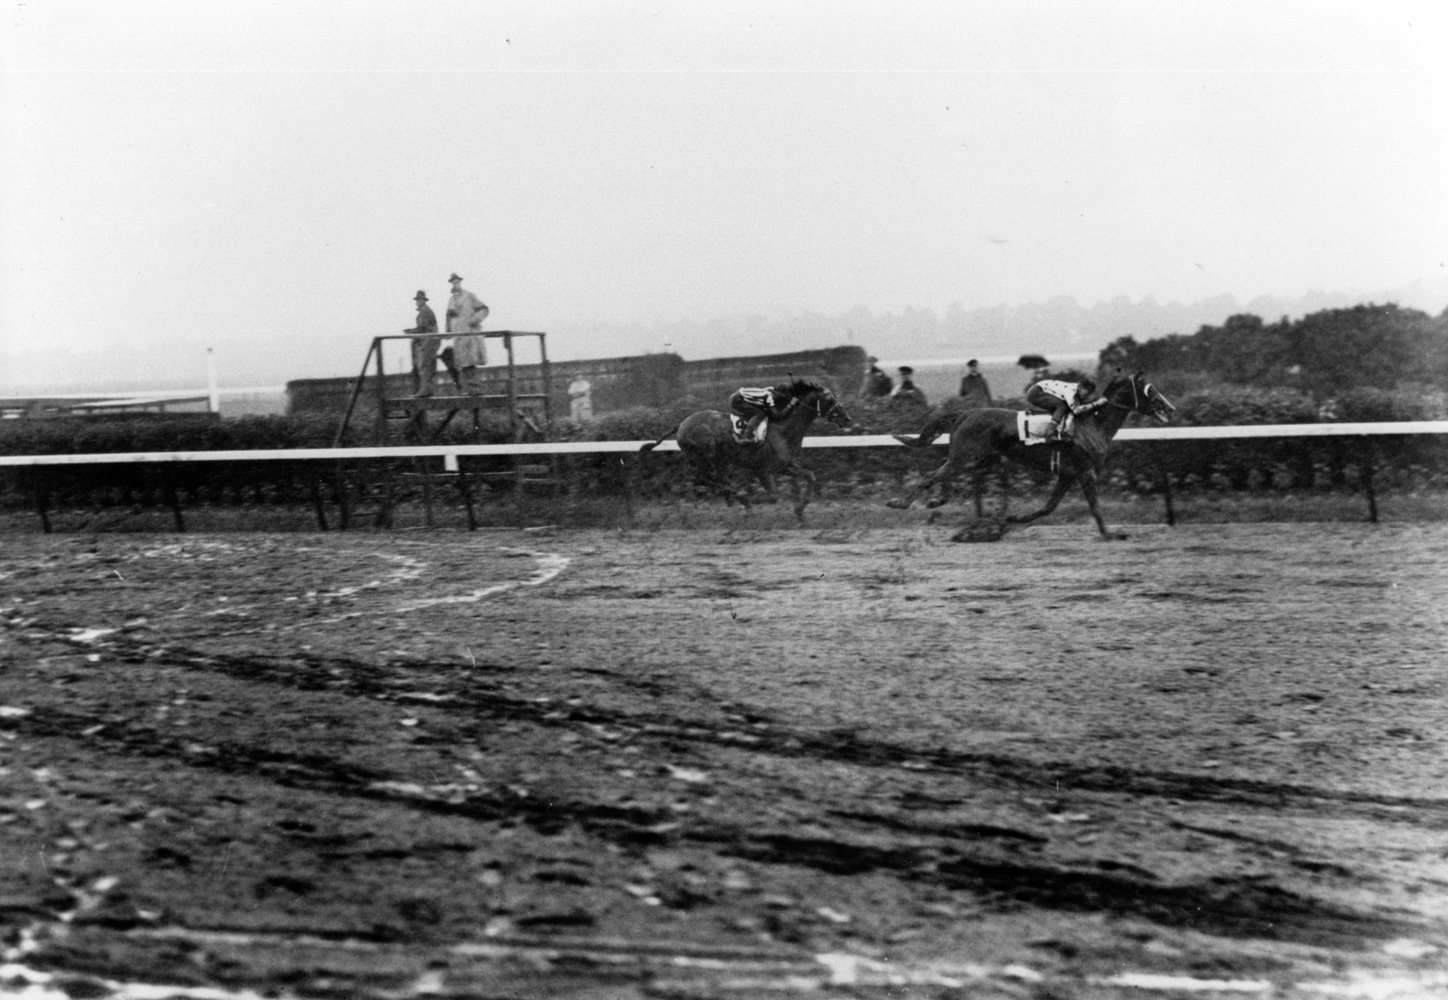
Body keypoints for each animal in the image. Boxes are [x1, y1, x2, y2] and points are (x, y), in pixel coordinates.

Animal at [640, 376, 851, 515]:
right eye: (829, 399)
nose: (847, 419)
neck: (783, 430)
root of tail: (681, 425)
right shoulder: (765, 468)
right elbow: (774, 495)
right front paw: (751, 502)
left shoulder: (785, 465)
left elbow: (810, 476)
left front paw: (800, 508)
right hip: (705, 453)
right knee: (705, 479)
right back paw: (738, 499)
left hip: (719, 460)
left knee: (714, 480)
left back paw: (732, 498)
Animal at [880, 369, 1175, 541]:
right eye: (1150, 389)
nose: (1170, 408)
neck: (1093, 423)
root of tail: (966, 413)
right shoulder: (1085, 470)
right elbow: (1095, 506)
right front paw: (1110, 534)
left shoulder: (1068, 473)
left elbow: (1049, 506)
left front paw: (1013, 519)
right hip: (967, 456)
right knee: (933, 474)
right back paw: (899, 503)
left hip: (978, 458)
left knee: (943, 472)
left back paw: (936, 500)